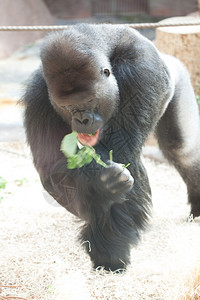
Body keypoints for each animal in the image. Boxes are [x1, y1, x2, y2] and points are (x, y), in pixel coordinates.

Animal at [21, 24, 200, 272]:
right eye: (68, 106)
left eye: (89, 100)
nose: (83, 120)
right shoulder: (38, 93)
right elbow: (52, 168)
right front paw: (100, 188)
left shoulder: (141, 70)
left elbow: (123, 155)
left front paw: (109, 249)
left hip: (181, 76)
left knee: (182, 148)